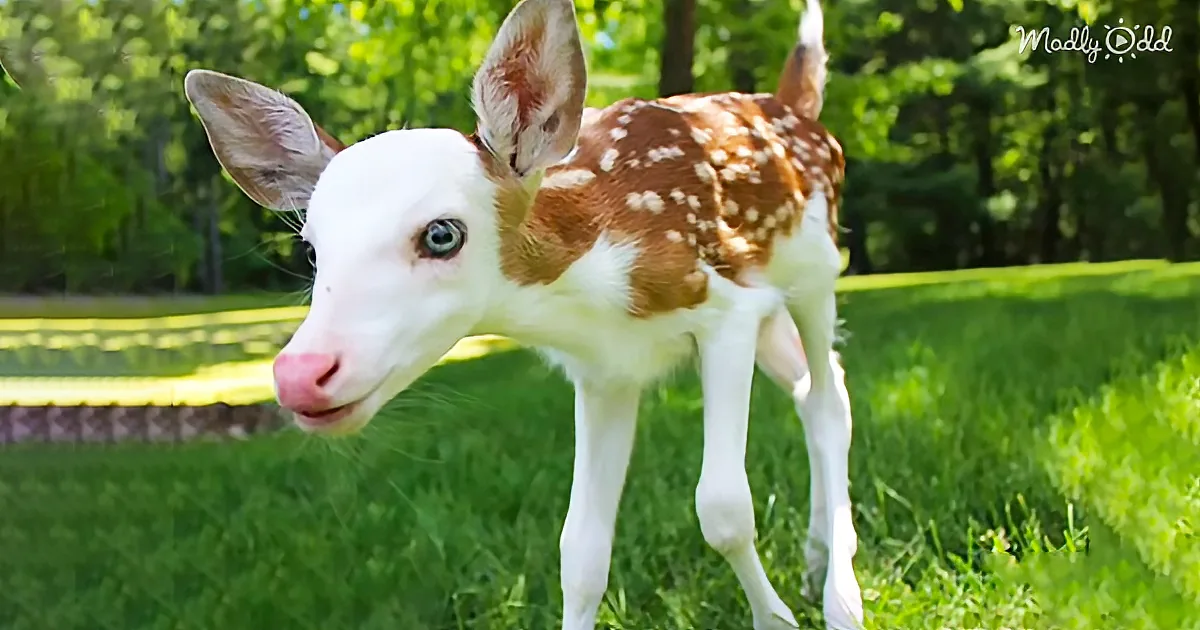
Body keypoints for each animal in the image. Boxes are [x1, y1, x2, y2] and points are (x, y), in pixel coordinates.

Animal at [181, 0, 863, 627]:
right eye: (312, 248)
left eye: (441, 235)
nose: (300, 374)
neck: (597, 275)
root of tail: (795, 108)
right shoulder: (607, 370)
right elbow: (580, 550)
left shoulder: (727, 308)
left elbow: (722, 508)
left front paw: (776, 620)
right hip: (775, 312)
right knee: (811, 389)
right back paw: (813, 563)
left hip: (817, 271)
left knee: (830, 402)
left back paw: (842, 599)